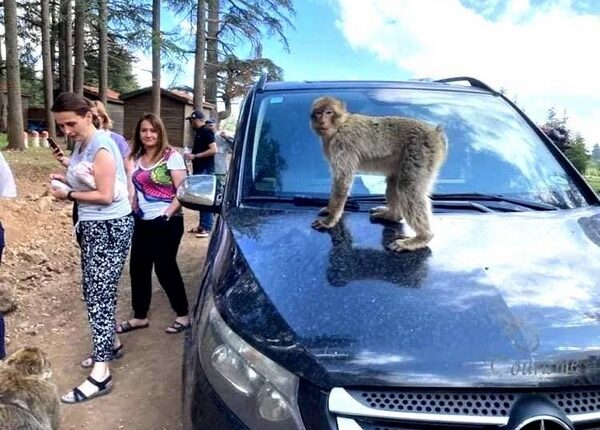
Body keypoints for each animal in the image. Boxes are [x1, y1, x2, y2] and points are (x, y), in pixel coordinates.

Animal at [310, 96, 446, 252]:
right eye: (318, 113)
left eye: (328, 112)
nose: (322, 120)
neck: (338, 127)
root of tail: (436, 132)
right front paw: (330, 209)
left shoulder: (342, 143)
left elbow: (343, 179)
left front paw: (330, 220)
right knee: (394, 181)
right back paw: (392, 215)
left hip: (421, 152)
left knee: (408, 189)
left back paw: (422, 237)